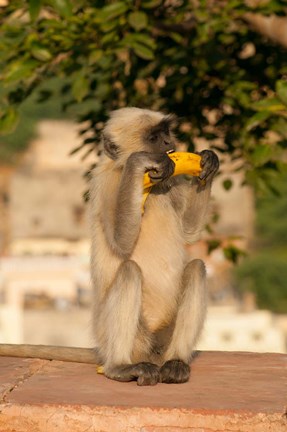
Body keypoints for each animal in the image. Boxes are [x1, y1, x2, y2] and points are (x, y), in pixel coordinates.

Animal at [0, 107, 219, 384]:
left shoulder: (171, 182)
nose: (169, 143)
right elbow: (121, 243)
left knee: (196, 268)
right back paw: (119, 367)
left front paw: (209, 161)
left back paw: (176, 362)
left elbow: (190, 233)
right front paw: (138, 162)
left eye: (166, 132)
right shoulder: (106, 184)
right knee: (129, 271)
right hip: (121, 334)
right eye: (154, 138)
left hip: (163, 336)